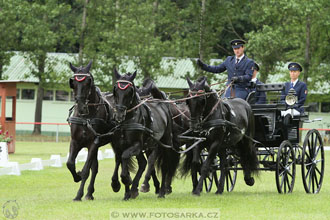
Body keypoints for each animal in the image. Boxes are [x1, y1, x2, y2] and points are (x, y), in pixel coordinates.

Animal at [65, 61, 117, 201]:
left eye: (88, 81)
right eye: (73, 82)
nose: (81, 107)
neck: (86, 117)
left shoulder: (93, 143)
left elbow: (86, 170)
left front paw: (78, 194)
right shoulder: (75, 142)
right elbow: (70, 163)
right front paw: (77, 177)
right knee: (95, 168)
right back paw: (89, 193)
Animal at [112, 69, 179, 199]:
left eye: (130, 91)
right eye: (115, 90)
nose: (119, 115)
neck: (128, 120)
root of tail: (161, 102)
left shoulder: (137, 145)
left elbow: (124, 157)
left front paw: (126, 180)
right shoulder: (119, 146)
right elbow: (119, 161)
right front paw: (117, 185)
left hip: (165, 142)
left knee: (164, 166)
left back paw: (162, 192)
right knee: (143, 163)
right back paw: (134, 189)